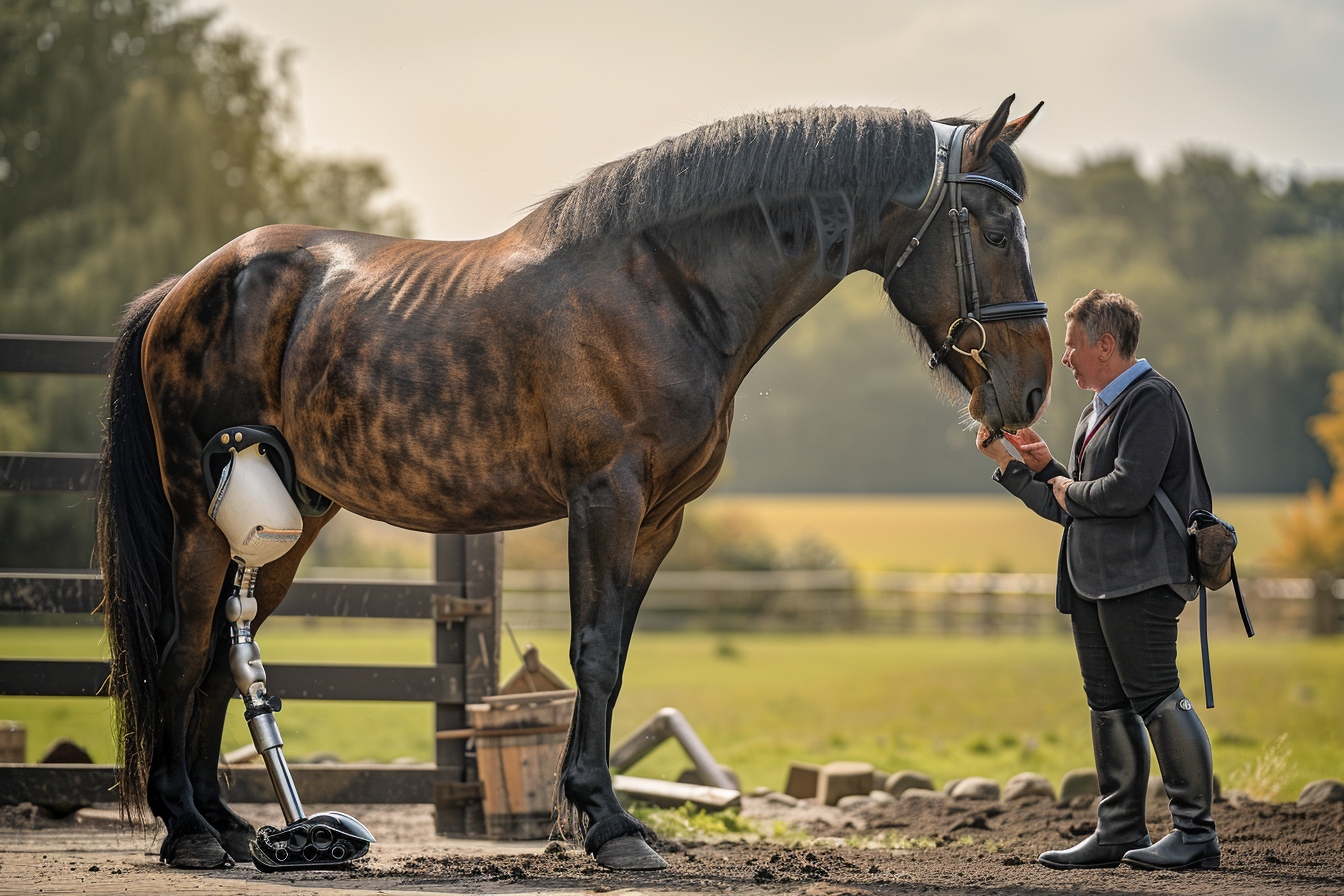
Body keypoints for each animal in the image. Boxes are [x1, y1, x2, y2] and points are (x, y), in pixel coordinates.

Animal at [97, 95, 1051, 870]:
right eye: (993, 231)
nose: (1035, 386)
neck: (664, 289)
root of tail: (185, 287)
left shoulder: (659, 519)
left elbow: (615, 658)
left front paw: (606, 814)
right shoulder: (605, 498)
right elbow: (590, 652)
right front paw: (608, 824)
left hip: (288, 521)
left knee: (219, 658)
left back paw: (227, 826)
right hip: (202, 514)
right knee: (182, 647)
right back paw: (187, 830)